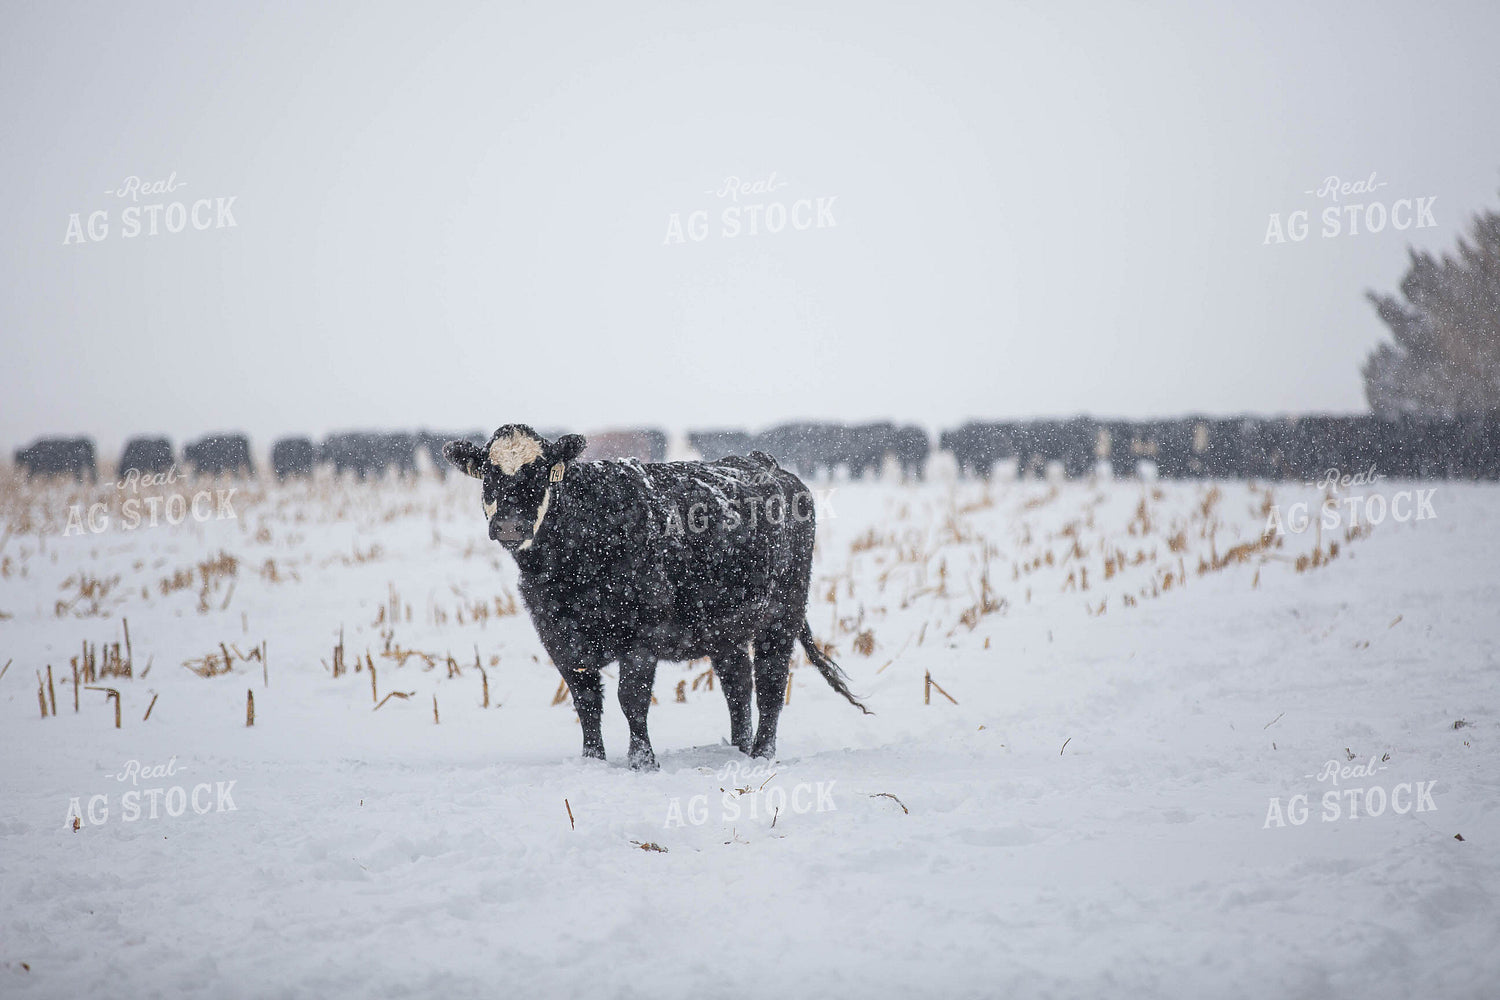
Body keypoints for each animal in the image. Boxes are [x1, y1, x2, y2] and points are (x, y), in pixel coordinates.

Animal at [444, 424, 870, 769]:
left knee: (770, 685)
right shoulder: (559, 637)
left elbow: (630, 698)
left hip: (781, 616)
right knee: (737, 684)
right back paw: (737, 749)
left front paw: (642, 762)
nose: (510, 525)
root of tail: (766, 463)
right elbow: (586, 701)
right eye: (489, 473)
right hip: (725, 629)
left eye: (540, 472)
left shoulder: (642, 635)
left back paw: (761, 755)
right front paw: (592, 761)